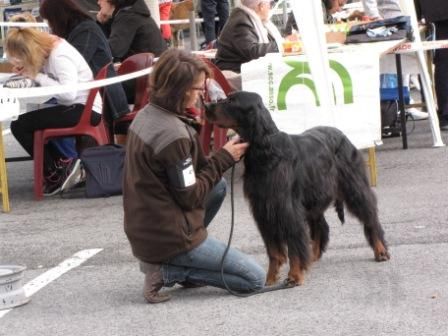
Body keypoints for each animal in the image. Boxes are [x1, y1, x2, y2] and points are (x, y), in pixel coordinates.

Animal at [205, 90, 390, 284]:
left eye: (232, 101)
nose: (206, 105)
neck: (265, 151)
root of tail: (341, 134)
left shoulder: (287, 207)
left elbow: (293, 241)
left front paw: (294, 275)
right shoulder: (263, 209)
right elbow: (273, 250)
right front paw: (270, 279)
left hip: (353, 186)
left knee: (370, 215)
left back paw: (380, 250)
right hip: (313, 196)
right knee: (321, 226)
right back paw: (312, 256)